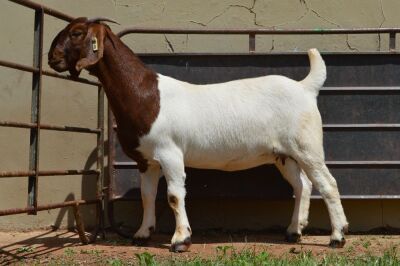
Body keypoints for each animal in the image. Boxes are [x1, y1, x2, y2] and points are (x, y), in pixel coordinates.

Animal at [46, 17, 346, 252]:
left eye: (76, 33)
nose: (52, 58)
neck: (146, 95)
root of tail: (305, 87)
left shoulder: (170, 153)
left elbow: (174, 195)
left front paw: (180, 240)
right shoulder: (147, 161)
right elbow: (146, 195)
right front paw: (142, 234)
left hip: (307, 146)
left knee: (328, 184)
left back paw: (337, 237)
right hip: (284, 154)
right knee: (302, 185)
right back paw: (294, 231)